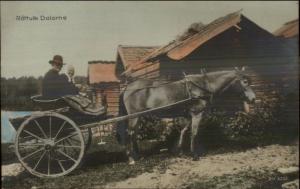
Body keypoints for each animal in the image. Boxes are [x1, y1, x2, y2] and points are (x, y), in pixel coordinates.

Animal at [117, 67, 255, 164]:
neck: (202, 86)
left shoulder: (188, 114)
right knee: (129, 133)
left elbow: (183, 130)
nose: (253, 99)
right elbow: (194, 132)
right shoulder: (197, 113)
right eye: (245, 81)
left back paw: (138, 155)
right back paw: (131, 158)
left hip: (139, 116)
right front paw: (194, 155)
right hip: (134, 116)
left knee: (134, 134)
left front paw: (179, 150)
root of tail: (127, 88)